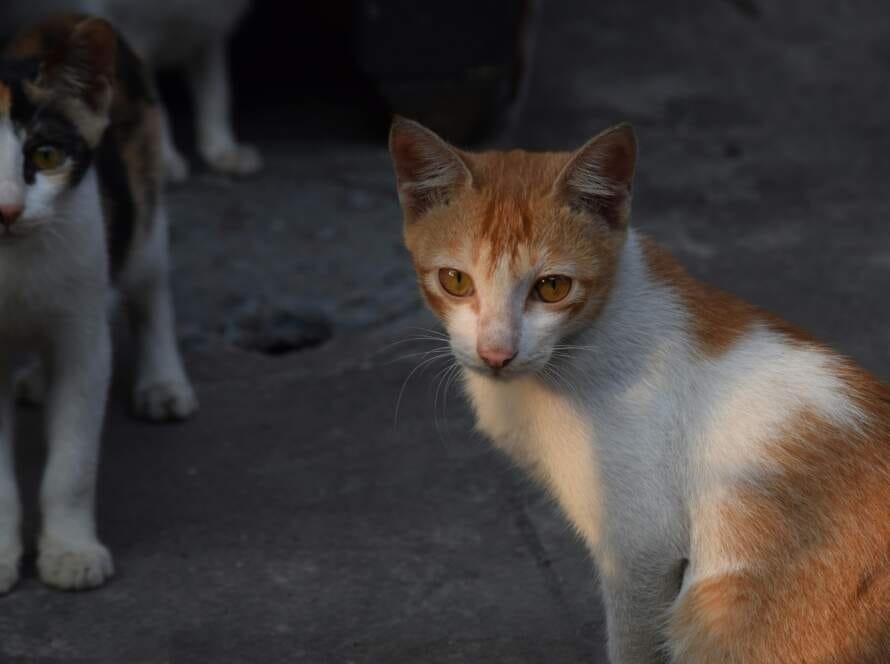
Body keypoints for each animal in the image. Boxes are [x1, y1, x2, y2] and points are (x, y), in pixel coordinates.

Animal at [0, 14, 196, 592]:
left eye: (45, 154)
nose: (8, 211)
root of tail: (60, 16)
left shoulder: (85, 339)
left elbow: (73, 462)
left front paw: (69, 551)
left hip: (139, 203)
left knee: (151, 290)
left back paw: (162, 384)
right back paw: (34, 379)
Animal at [1, 0, 260, 182]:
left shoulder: (206, 36)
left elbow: (217, 94)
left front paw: (223, 151)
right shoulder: (133, 38)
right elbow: (157, 105)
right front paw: (162, 159)